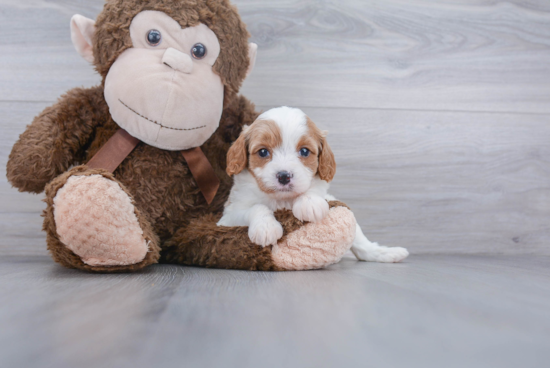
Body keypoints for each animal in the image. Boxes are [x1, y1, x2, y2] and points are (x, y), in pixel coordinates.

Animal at [219, 105, 410, 262]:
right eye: (263, 152)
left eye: (304, 151)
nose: (284, 176)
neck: (282, 199)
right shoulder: (227, 218)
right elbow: (255, 207)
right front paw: (266, 227)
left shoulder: (327, 196)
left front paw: (309, 203)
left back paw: (386, 253)